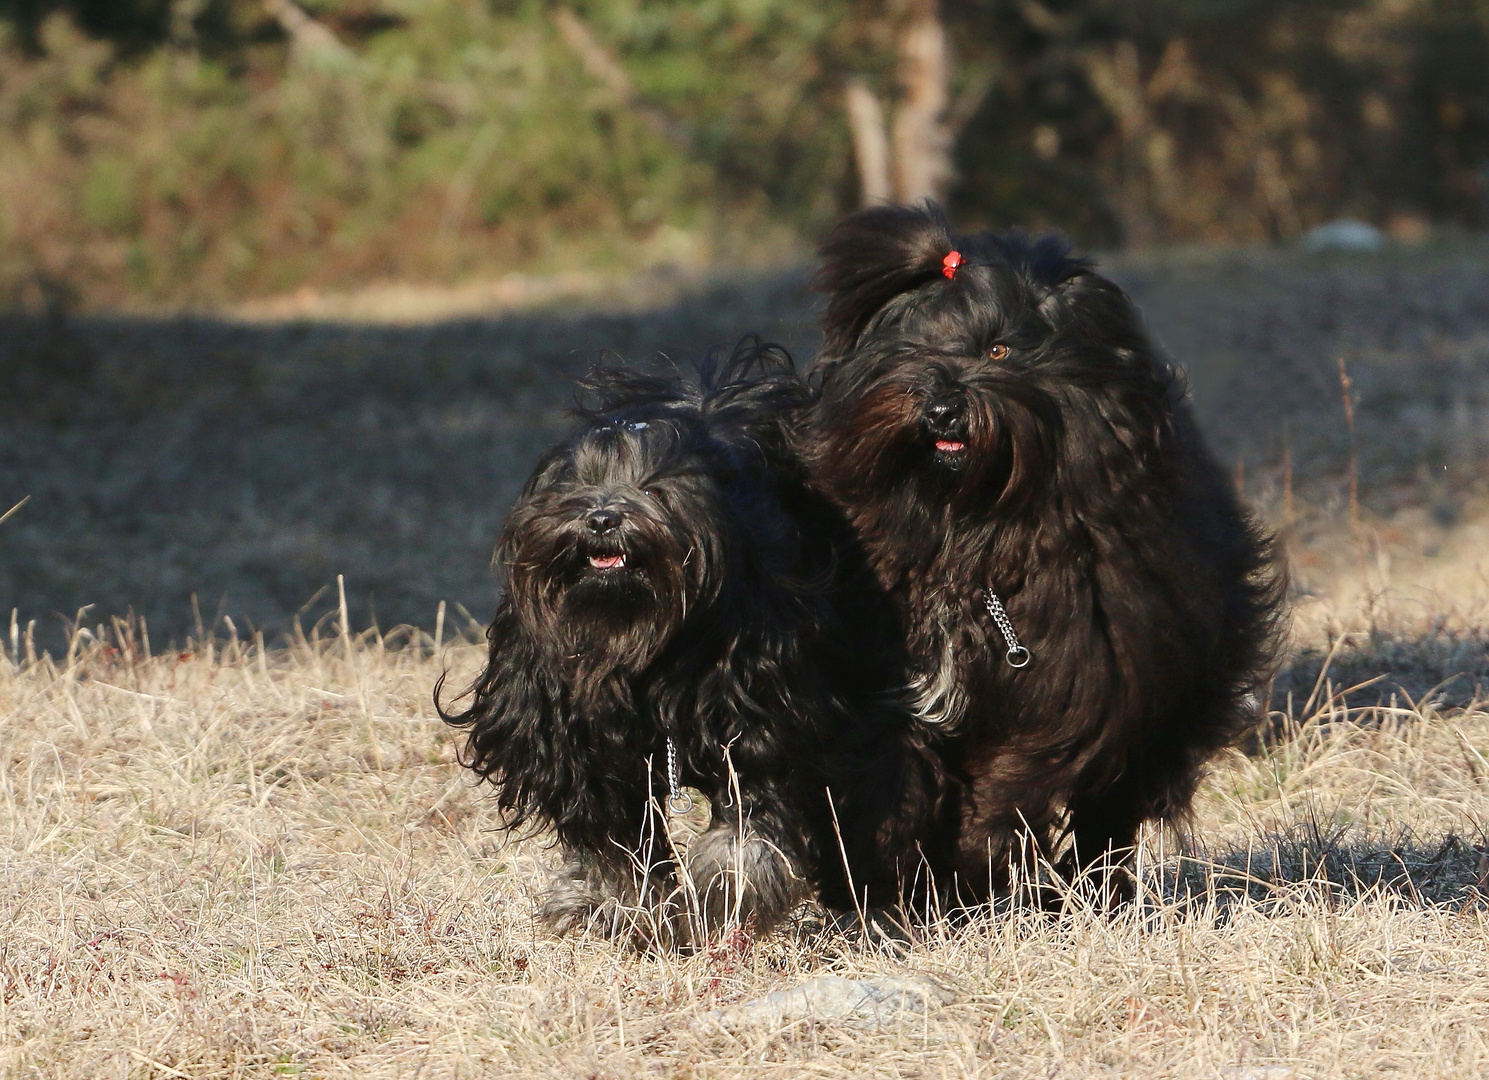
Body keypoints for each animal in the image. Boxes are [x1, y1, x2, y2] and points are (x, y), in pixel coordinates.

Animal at [437, 350, 952, 941]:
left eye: (652, 486)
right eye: (576, 487)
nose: (602, 517)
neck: (633, 640)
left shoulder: (761, 716)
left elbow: (748, 825)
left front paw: (723, 898)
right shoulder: (575, 740)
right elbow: (610, 837)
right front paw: (611, 905)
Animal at [798, 204, 1286, 899]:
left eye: (999, 349)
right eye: (913, 349)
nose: (941, 409)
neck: (971, 530)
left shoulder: (1081, 674)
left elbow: (1019, 769)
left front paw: (976, 858)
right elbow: (891, 770)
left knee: (1114, 804)